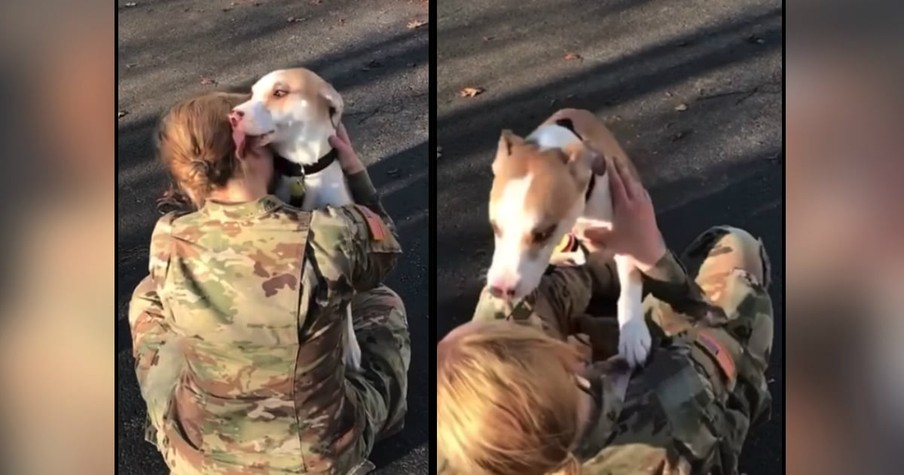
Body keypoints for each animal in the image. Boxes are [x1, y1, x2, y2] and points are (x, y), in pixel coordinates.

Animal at [228, 68, 362, 372]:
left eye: (280, 93)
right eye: (252, 93)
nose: (233, 115)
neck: (303, 170)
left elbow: (345, 308)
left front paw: (350, 348)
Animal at [484, 109, 652, 368]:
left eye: (544, 233)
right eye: (494, 226)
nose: (500, 289)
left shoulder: (626, 229)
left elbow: (630, 281)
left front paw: (632, 332)